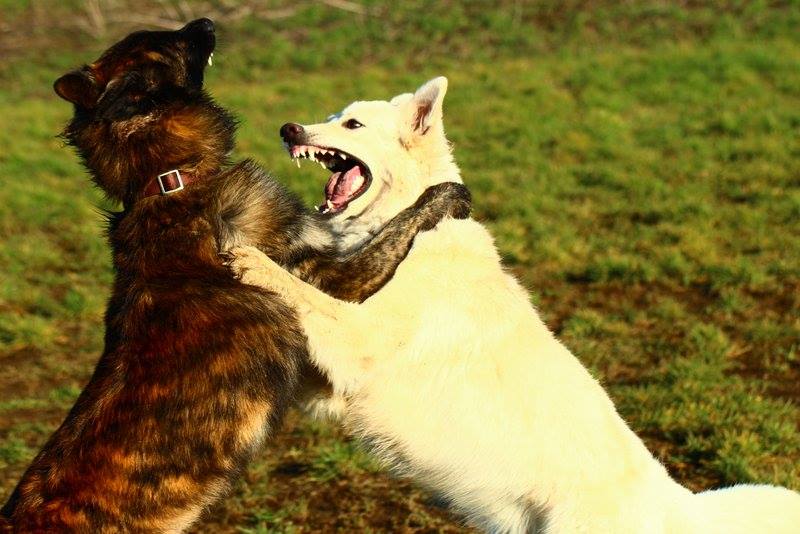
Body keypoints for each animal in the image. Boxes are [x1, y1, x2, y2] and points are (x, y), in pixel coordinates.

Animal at [0, 18, 468, 532]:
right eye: (164, 39)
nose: (206, 22)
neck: (168, 182)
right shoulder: (326, 278)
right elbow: (396, 228)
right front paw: (443, 195)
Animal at [233, 77, 800, 532]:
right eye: (330, 117)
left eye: (352, 124)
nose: (288, 129)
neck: (416, 232)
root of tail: (679, 507)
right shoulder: (327, 385)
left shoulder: (359, 343)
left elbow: (298, 290)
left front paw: (246, 256)